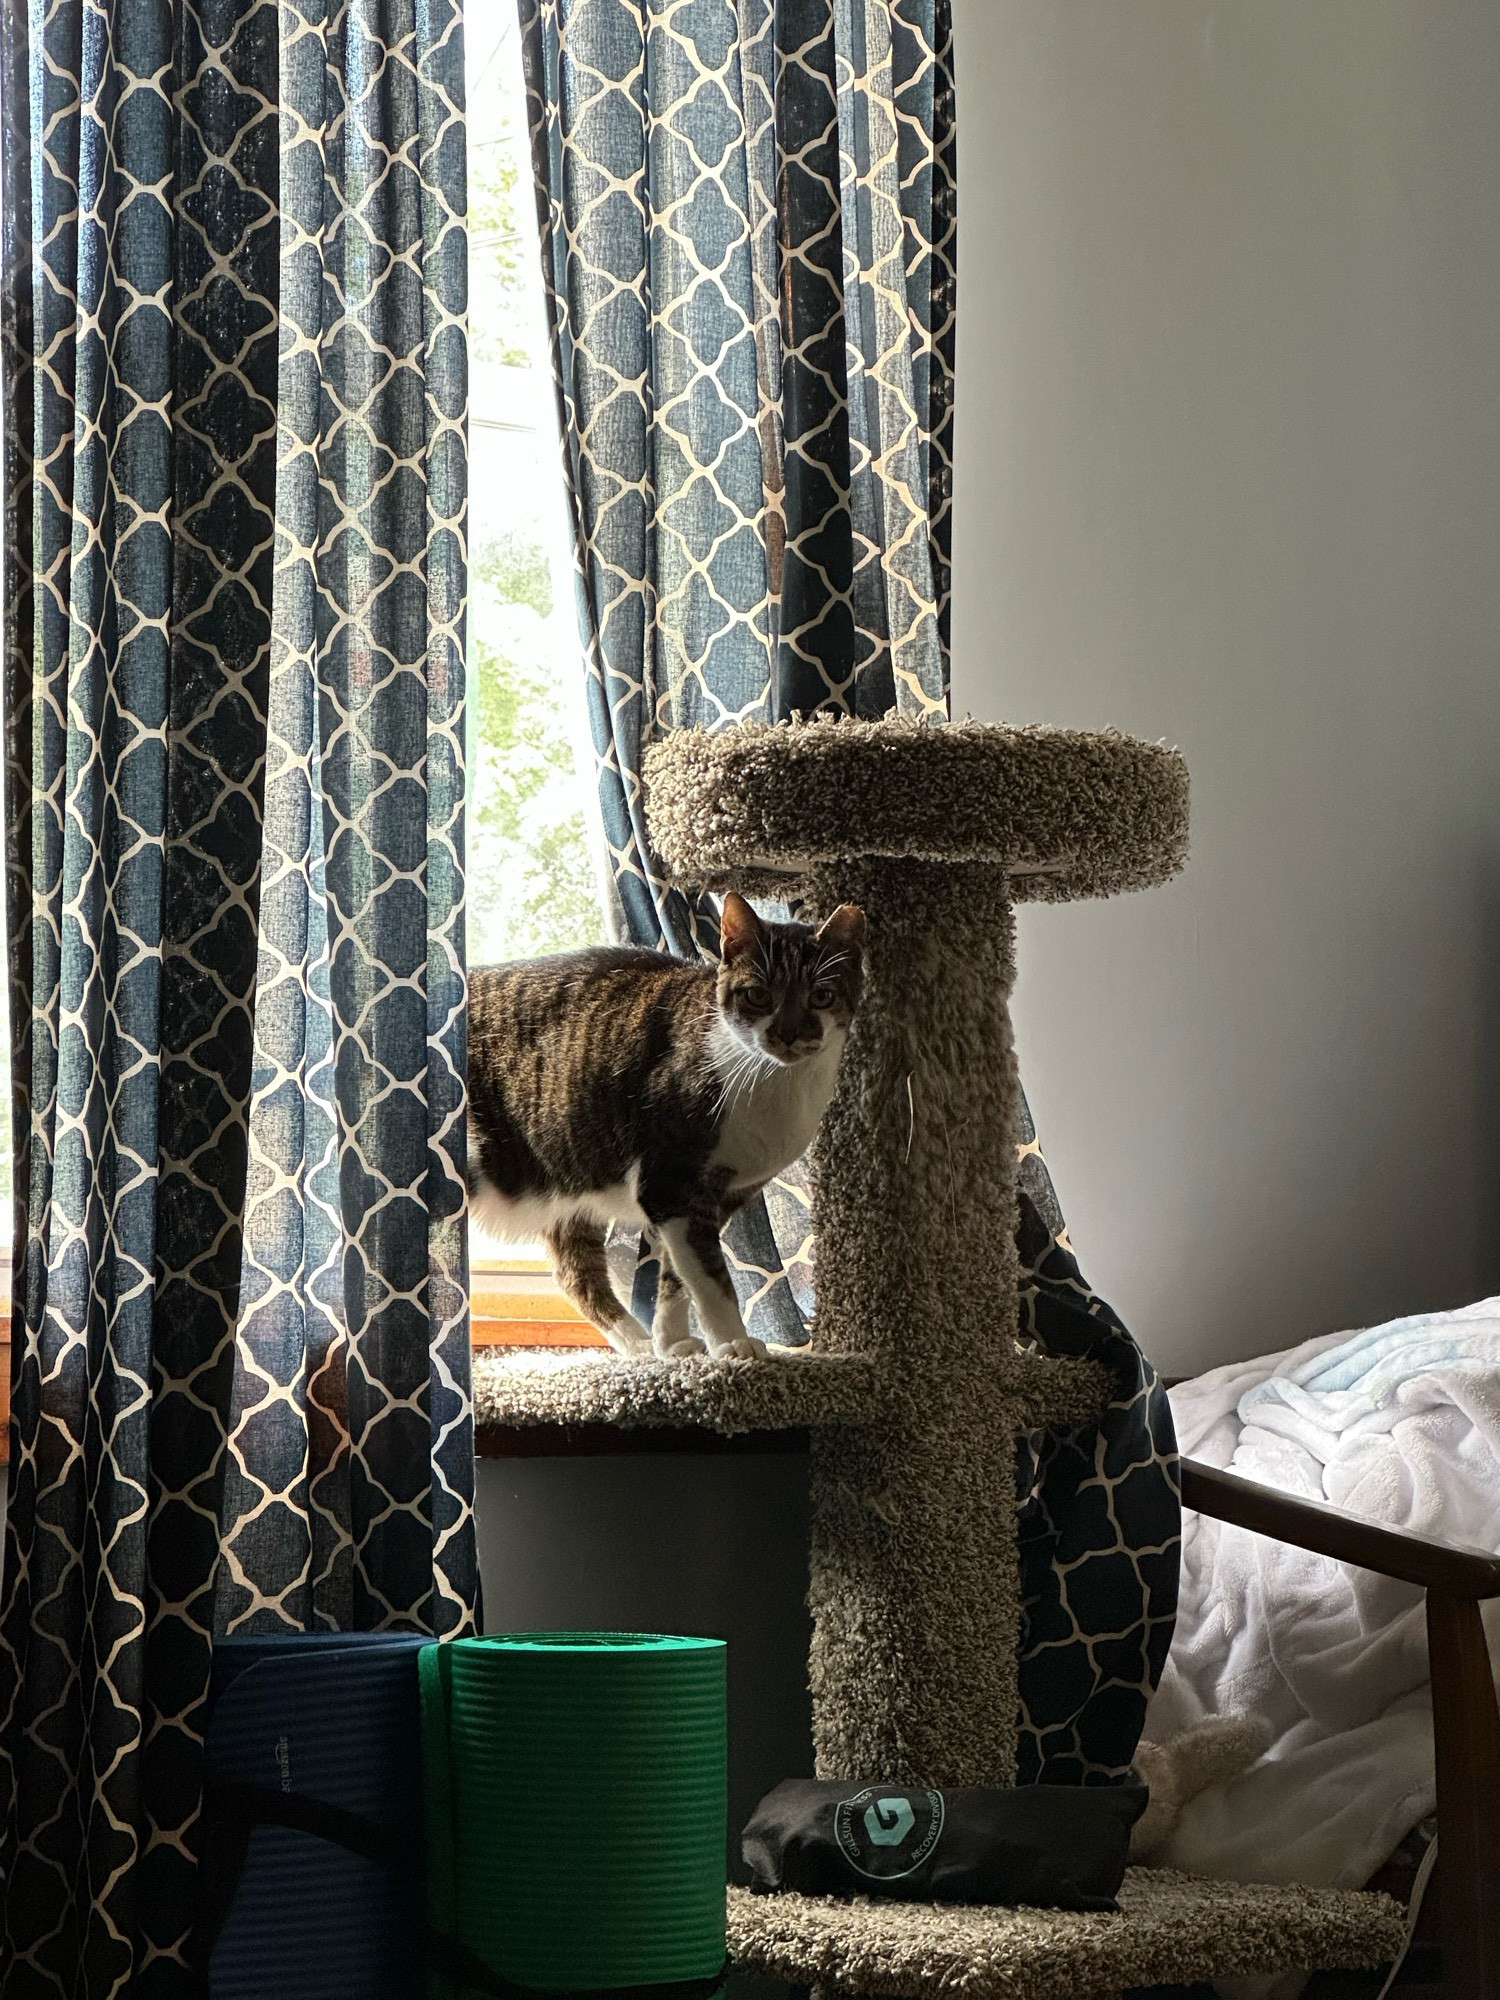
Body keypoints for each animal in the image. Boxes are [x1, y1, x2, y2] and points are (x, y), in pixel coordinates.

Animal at [470, 904, 868, 1360]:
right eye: (757, 995)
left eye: (821, 996)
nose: (786, 1034)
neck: (781, 1087)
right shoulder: (670, 1184)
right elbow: (710, 1279)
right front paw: (732, 1343)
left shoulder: (720, 1197)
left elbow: (677, 1277)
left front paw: (673, 1343)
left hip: (572, 1189)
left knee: (575, 1276)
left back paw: (639, 1345)